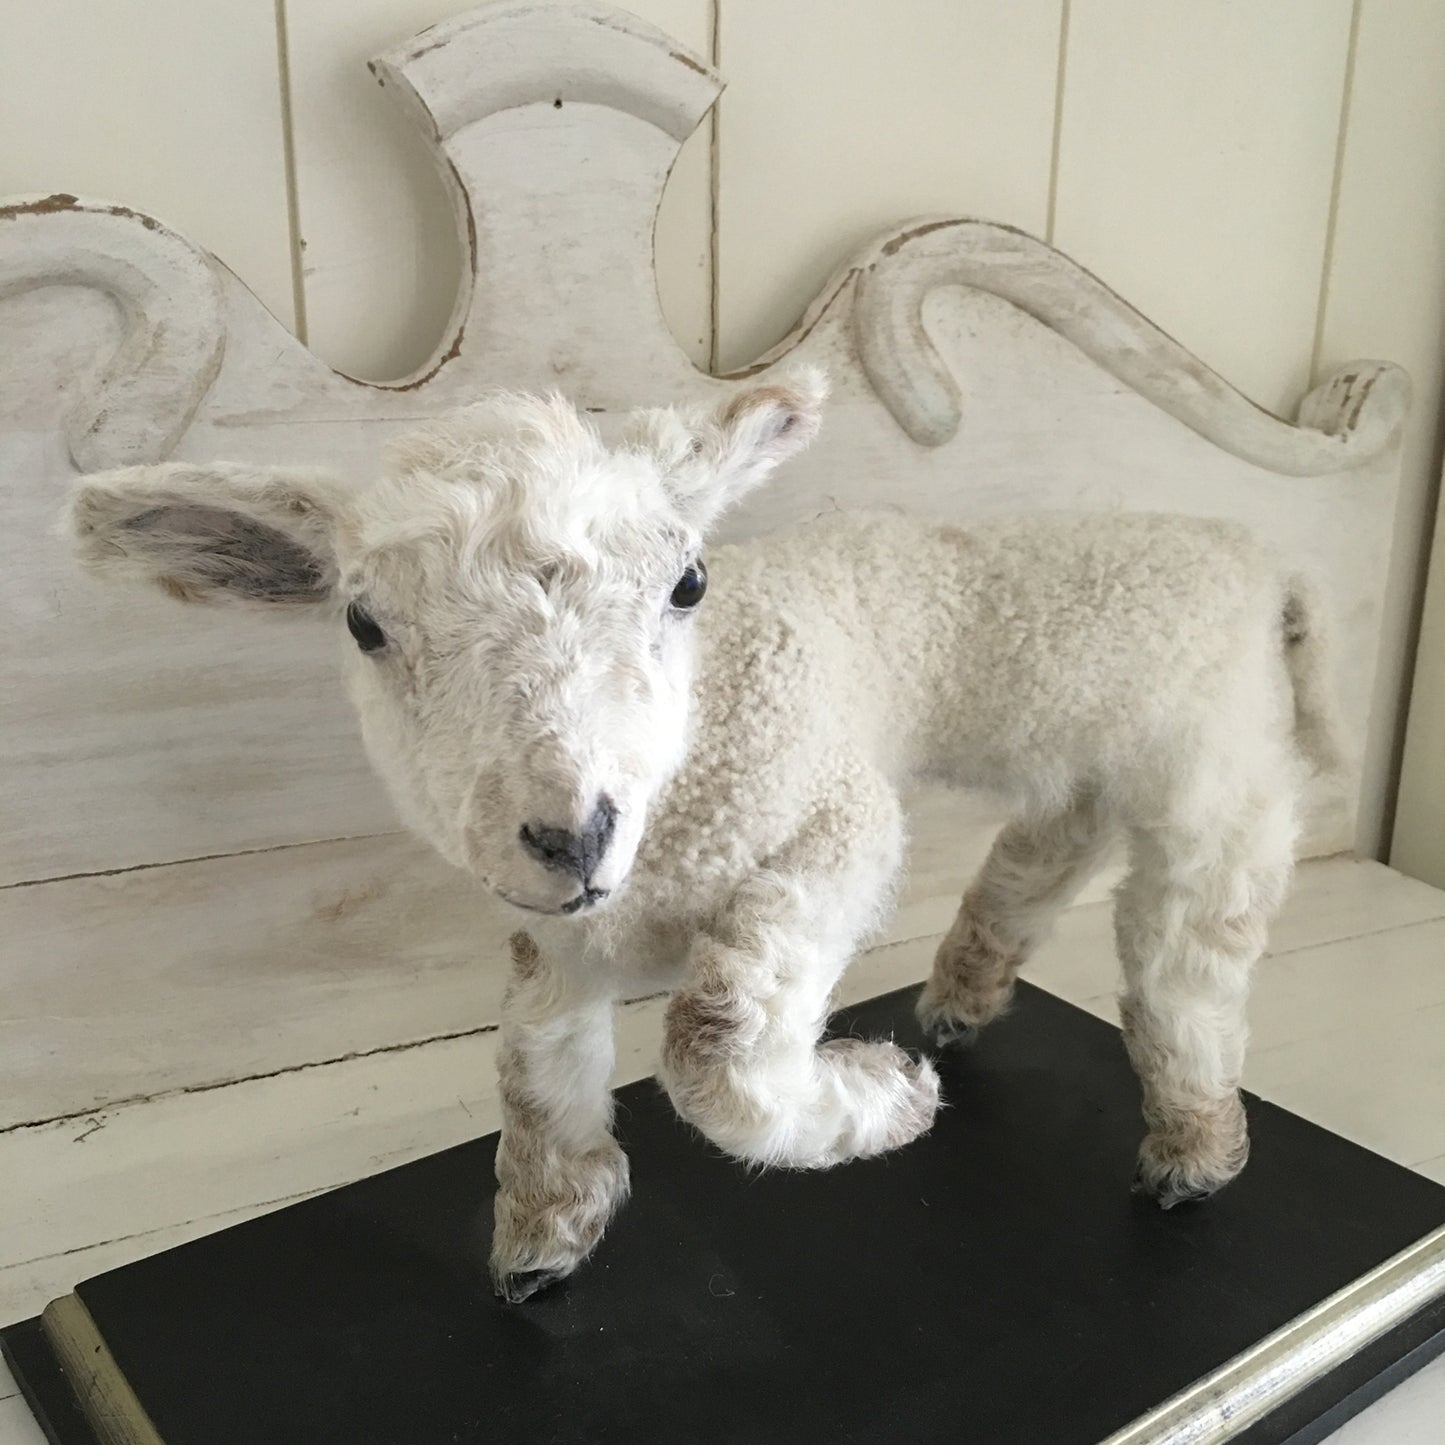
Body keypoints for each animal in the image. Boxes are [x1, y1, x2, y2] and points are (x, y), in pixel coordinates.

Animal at [68, 370, 1343, 1302]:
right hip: (1088, 751)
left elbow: (711, 1043)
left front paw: (879, 1098)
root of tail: (1259, 557)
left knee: (1184, 950)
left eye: (687, 582)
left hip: (1212, 766)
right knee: (1052, 840)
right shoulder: (551, 936)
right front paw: (546, 1230)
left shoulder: (834, 828)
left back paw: (1190, 1142)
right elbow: (531, 1068)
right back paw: (963, 996)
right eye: (364, 625)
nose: (571, 832)